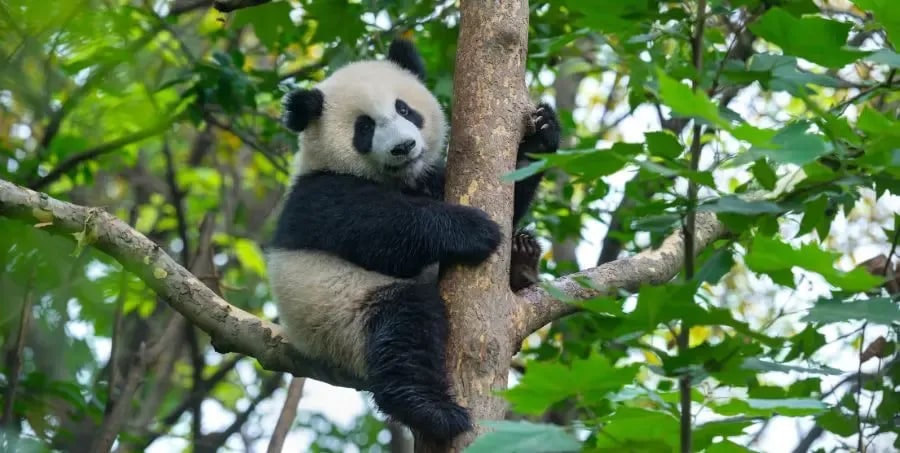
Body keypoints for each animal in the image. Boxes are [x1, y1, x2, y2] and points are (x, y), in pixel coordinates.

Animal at [265, 38, 560, 442]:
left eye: (404, 109)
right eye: (365, 127)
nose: (403, 147)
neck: (398, 178)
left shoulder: (429, 178)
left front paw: (541, 134)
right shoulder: (320, 195)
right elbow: (382, 232)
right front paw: (473, 229)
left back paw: (522, 260)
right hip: (339, 315)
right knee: (404, 329)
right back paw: (431, 410)